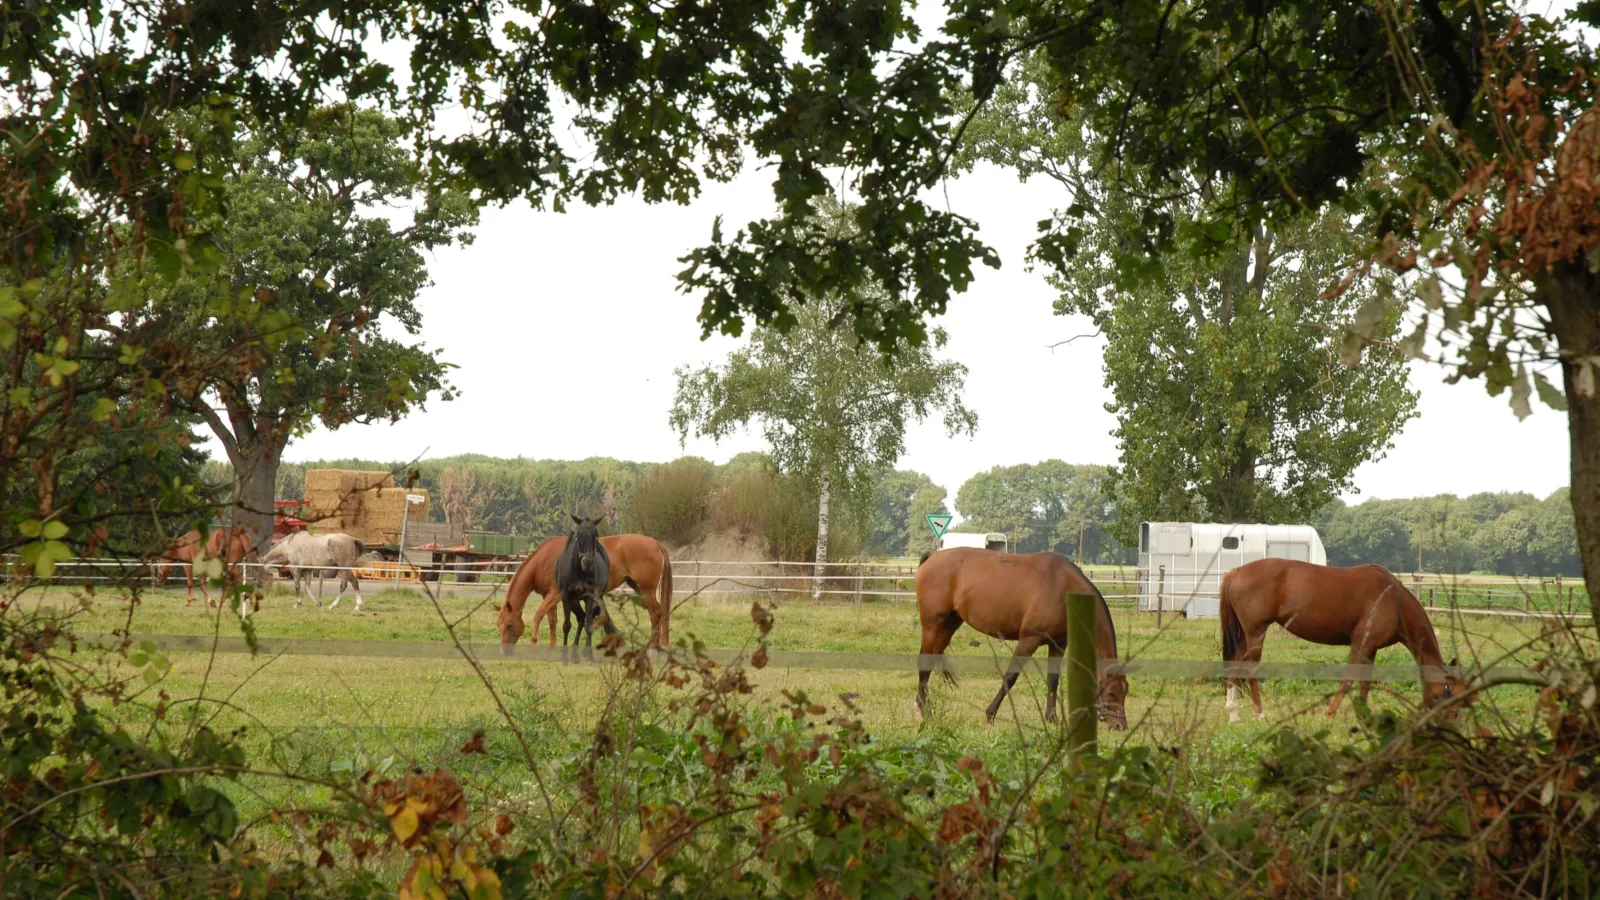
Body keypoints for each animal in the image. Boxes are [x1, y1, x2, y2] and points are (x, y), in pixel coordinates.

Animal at [499, 531, 675, 650]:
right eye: (499, 625)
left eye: (509, 625)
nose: (504, 650)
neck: (545, 559)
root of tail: (655, 543)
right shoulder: (548, 596)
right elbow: (552, 620)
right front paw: (552, 646)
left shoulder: (555, 594)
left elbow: (538, 615)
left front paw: (534, 642)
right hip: (638, 587)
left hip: (646, 589)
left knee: (656, 613)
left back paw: (652, 645)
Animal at [556, 512, 617, 659]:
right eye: (579, 535)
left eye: (596, 535)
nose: (588, 562)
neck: (578, 571)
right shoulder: (566, 596)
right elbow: (567, 625)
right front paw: (564, 656)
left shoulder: (590, 596)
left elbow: (588, 624)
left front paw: (589, 655)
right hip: (574, 601)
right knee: (580, 618)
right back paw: (574, 653)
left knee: (585, 618)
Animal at [915, 547, 1126, 730]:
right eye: (1112, 692)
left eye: (1126, 691)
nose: (1121, 726)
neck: (1062, 586)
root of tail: (933, 556)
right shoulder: (1028, 641)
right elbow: (1010, 677)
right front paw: (990, 714)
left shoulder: (1058, 645)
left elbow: (1053, 680)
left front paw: (1052, 719)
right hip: (933, 626)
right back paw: (925, 711)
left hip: (948, 626)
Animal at [1216, 554, 1465, 720]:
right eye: (1448, 692)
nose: (1452, 722)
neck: (1394, 600)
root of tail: (1237, 571)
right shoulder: (1360, 645)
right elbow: (1347, 681)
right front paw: (1330, 712)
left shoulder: (1371, 649)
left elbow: (1365, 682)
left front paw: (1364, 716)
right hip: (1256, 633)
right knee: (1249, 668)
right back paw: (1259, 713)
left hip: (1244, 635)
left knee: (1234, 665)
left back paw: (1233, 713)